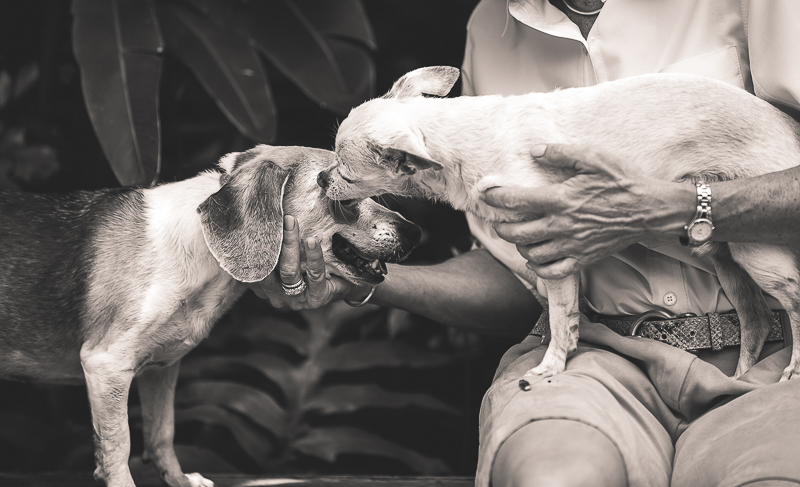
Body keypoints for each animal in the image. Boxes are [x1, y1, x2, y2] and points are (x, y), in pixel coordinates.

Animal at [0, 146, 422, 487]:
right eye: (341, 192)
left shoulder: (160, 368)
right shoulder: (107, 364)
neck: (202, 248)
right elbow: (118, 446)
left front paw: (178, 480)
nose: (416, 233)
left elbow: (162, 433)